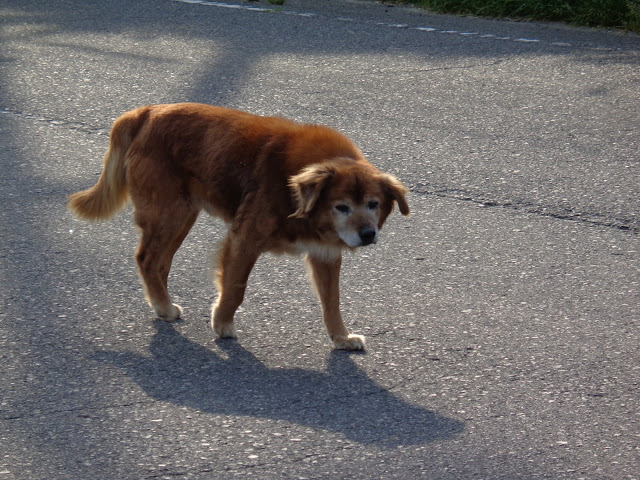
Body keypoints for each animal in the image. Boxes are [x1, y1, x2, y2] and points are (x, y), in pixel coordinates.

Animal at [69, 104, 410, 348]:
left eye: (373, 204)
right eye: (341, 207)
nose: (368, 234)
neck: (299, 201)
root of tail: (146, 112)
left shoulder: (325, 254)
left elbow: (332, 301)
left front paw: (340, 337)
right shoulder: (245, 239)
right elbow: (235, 287)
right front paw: (222, 323)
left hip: (183, 214)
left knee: (158, 262)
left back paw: (160, 303)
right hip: (171, 212)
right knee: (147, 259)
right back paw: (164, 306)